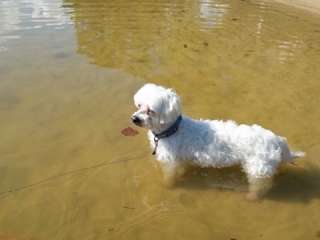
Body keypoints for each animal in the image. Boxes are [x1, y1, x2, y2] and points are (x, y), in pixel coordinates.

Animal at [131, 83, 304, 200]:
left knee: (261, 186)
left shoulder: (170, 162)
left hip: (257, 168)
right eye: (139, 105)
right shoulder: (180, 160)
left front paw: (167, 186)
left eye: (151, 111)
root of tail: (276, 139)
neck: (172, 130)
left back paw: (252, 197)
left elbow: (169, 177)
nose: (134, 119)